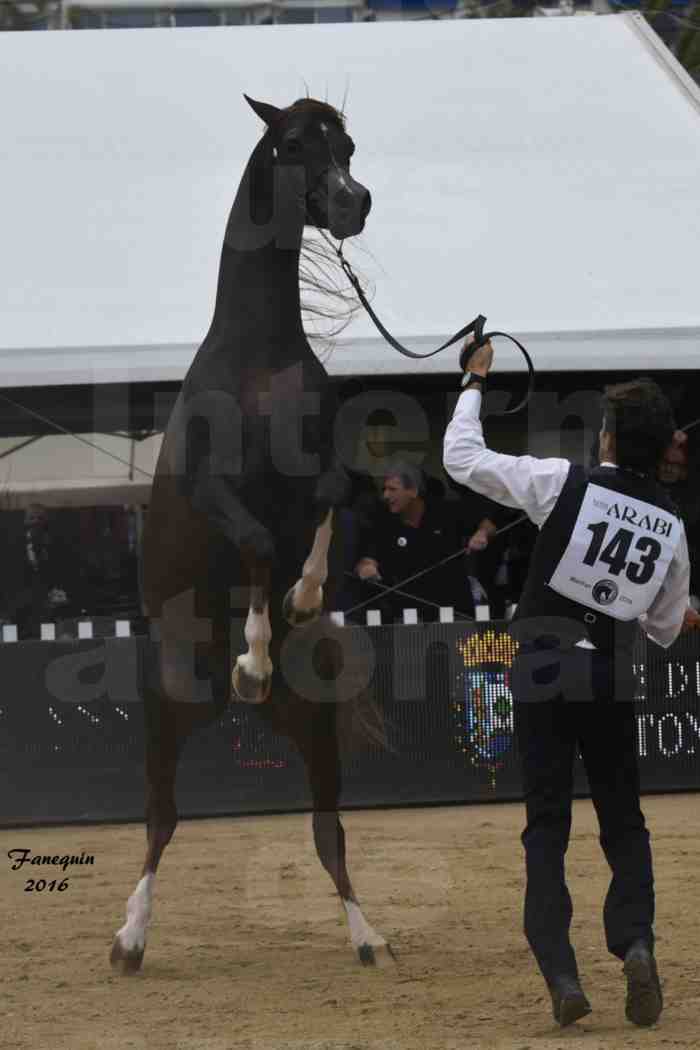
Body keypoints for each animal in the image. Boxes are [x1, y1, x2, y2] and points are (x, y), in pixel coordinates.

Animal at [110, 94, 394, 970]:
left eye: (349, 145)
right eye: (294, 143)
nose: (355, 203)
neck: (257, 356)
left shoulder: (320, 469)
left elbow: (333, 500)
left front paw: (302, 600)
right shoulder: (214, 493)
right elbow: (259, 545)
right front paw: (255, 651)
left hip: (312, 728)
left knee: (328, 832)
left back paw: (369, 937)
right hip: (169, 714)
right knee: (160, 820)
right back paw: (129, 938)